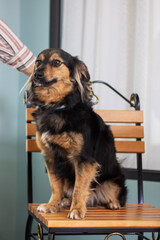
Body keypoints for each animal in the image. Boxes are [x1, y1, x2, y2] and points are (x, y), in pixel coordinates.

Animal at [27, 48, 127, 219]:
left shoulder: (84, 159)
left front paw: (77, 210)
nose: (36, 74)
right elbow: (55, 186)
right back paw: (66, 201)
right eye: (38, 62)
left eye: (57, 62)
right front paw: (52, 205)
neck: (57, 106)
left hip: (114, 180)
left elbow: (79, 188)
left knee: (114, 196)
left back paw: (112, 203)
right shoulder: (50, 157)